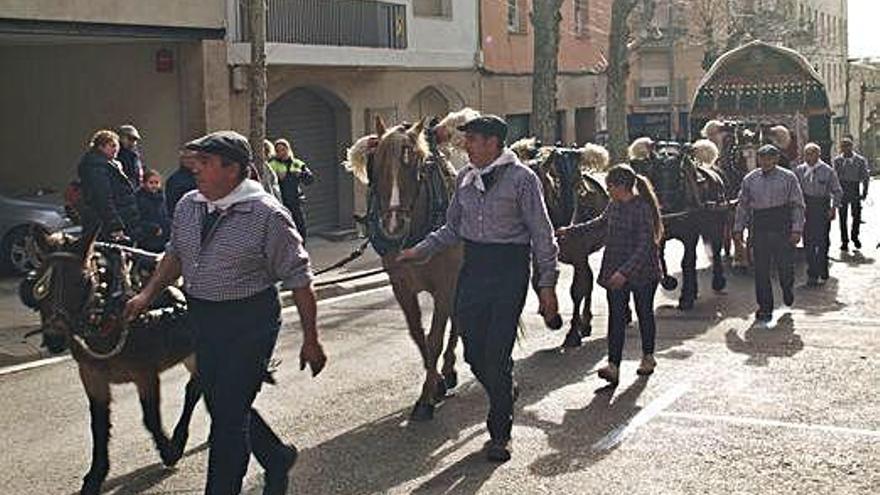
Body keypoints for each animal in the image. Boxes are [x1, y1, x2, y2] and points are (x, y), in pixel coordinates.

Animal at [21, 229, 201, 495]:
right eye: (39, 284)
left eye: (83, 281)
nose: (54, 338)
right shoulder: (91, 374)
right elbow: (98, 424)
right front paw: (95, 476)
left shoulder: (145, 372)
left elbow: (150, 418)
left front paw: (168, 451)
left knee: (194, 390)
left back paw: (180, 440)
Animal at [344, 117, 460, 422]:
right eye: (375, 163)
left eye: (420, 166)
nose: (393, 225)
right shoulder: (401, 286)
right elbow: (418, 335)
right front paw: (435, 385)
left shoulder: (445, 284)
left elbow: (434, 338)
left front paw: (426, 398)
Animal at [508, 140, 612, 348]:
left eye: (536, 181)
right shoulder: (540, 254)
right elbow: (538, 282)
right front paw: (552, 317)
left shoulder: (579, 253)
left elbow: (577, 290)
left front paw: (572, 333)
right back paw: (586, 323)